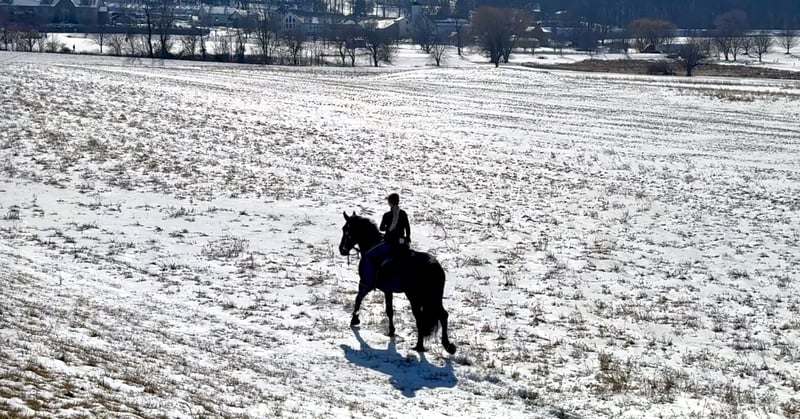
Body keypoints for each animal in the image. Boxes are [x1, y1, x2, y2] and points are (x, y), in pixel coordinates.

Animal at [339, 211, 456, 354]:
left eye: (347, 230)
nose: (342, 250)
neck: (371, 245)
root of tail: (434, 267)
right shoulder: (387, 290)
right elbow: (389, 310)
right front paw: (391, 331)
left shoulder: (366, 284)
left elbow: (358, 299)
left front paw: (354, 320)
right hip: (433, 298)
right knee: (443, 315)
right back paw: (448, 346)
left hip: (416, 297)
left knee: (421, 318)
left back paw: (419, 346)